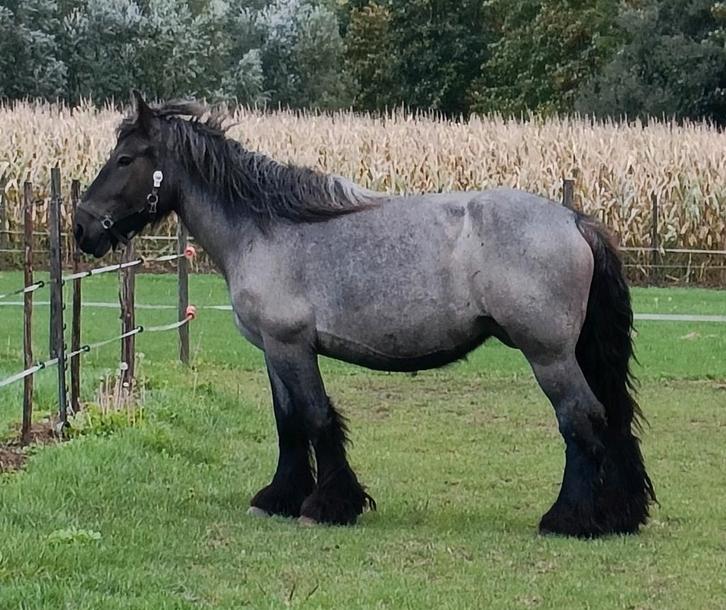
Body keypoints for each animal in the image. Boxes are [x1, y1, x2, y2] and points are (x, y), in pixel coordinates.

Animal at [75, 91, 655, 538]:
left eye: (126, 159)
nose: (82, 228)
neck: (266, 229)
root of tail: (574, 220)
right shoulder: (275, 352)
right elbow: (288, 422)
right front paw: (278, 497)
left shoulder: (291, 346)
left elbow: (315, 417)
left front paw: (328, 506)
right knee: (611, 418)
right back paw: (620, 515)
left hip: (549, 355)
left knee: (581, 418)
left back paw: (568, 519)